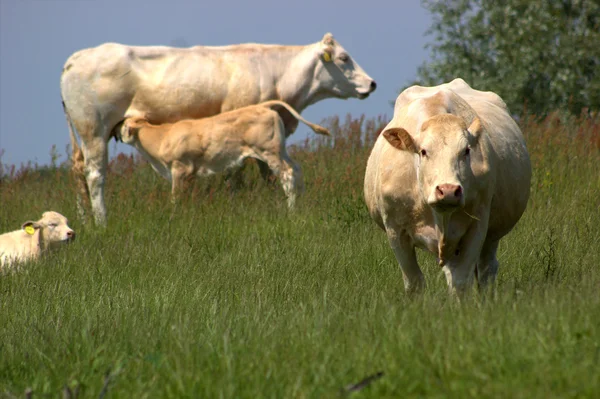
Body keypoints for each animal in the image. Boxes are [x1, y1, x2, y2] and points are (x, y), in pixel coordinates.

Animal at [118, 101, 328, 209]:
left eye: (123, 126)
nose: (117, 133)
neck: (162, 136)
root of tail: (262, 106)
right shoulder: (190, 174)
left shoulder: (179, 169)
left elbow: (175, 196)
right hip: (280, 150)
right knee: (297, 169)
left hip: (270, 153)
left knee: (287, 174)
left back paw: (291, 209)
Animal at [364, 79, 532, 296]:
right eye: (423, 151)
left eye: (466, 151)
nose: (448, 190)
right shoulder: (395, 229)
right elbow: (414, 282)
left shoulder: (478, 225)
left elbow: (460, 282)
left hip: (492, 234)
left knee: (486, 269)